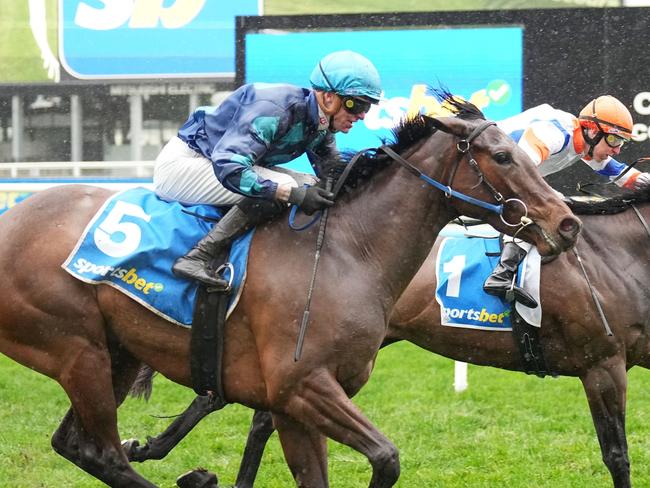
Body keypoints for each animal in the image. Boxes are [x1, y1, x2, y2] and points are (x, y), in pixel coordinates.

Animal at [0, 96, 576, 488]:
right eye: (503, 156)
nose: (567, 222)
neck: (349, 252)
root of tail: (13, 219)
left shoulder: (299, 403)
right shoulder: (301, 386)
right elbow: (386, 457)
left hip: (114, 351)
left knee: (77, 445)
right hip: (78, 351)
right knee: (102, 453)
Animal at [128, 192, 648, 488]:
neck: (620, 253)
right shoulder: (602, 364)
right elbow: (617, 454)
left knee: (255, 414)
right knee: (229, 403)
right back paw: (153, 449)